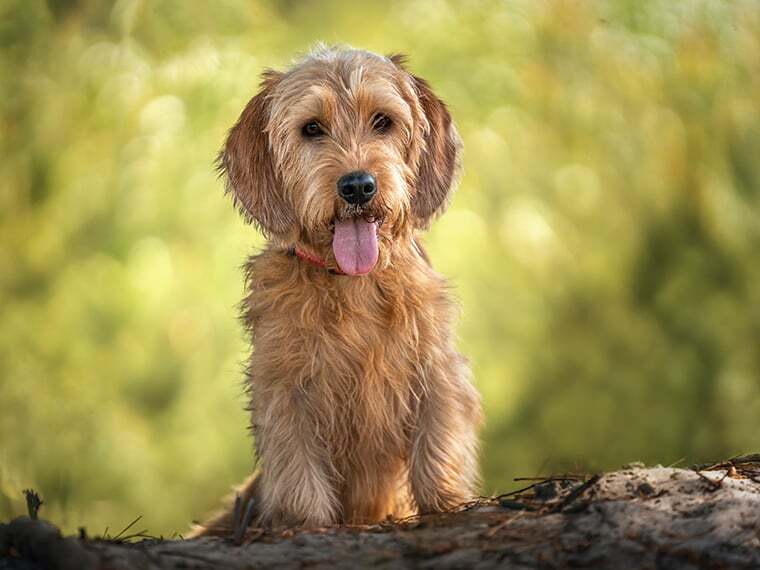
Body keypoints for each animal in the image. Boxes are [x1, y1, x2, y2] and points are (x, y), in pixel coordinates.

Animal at [193, 46, 484, 536]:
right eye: (312, 128)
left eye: (383, 120)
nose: (358, 186)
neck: (352, 284)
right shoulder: (285, 390)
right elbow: (298, 470)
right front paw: (304, 523)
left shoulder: (436, 368)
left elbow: (438, 441)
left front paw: (447, 503)